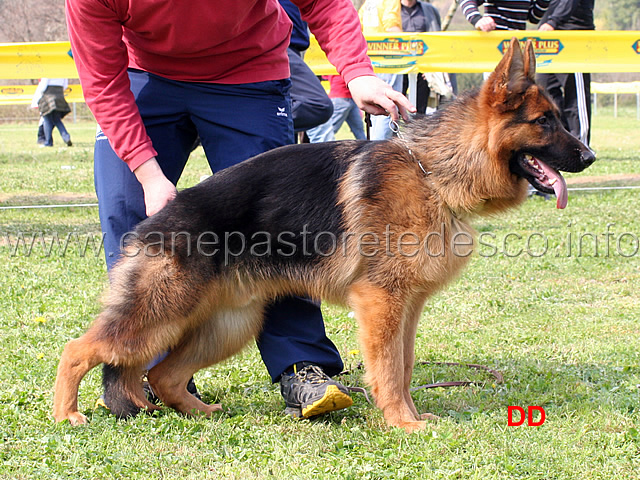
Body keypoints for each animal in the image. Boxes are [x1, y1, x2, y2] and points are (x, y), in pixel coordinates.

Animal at [53, 40, 596, 432]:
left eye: (558, 118)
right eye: (544, 122)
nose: (589, 157)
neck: (434, 172)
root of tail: (154, 223)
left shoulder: (406, 308)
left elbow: (403, 367)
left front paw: (411, 415)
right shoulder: (381, 303)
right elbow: (388, 372)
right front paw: (402, 424)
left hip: (228, 324)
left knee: (160, 373)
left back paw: (200, 413)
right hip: (159, 315)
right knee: (80, 349)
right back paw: (66, 414)